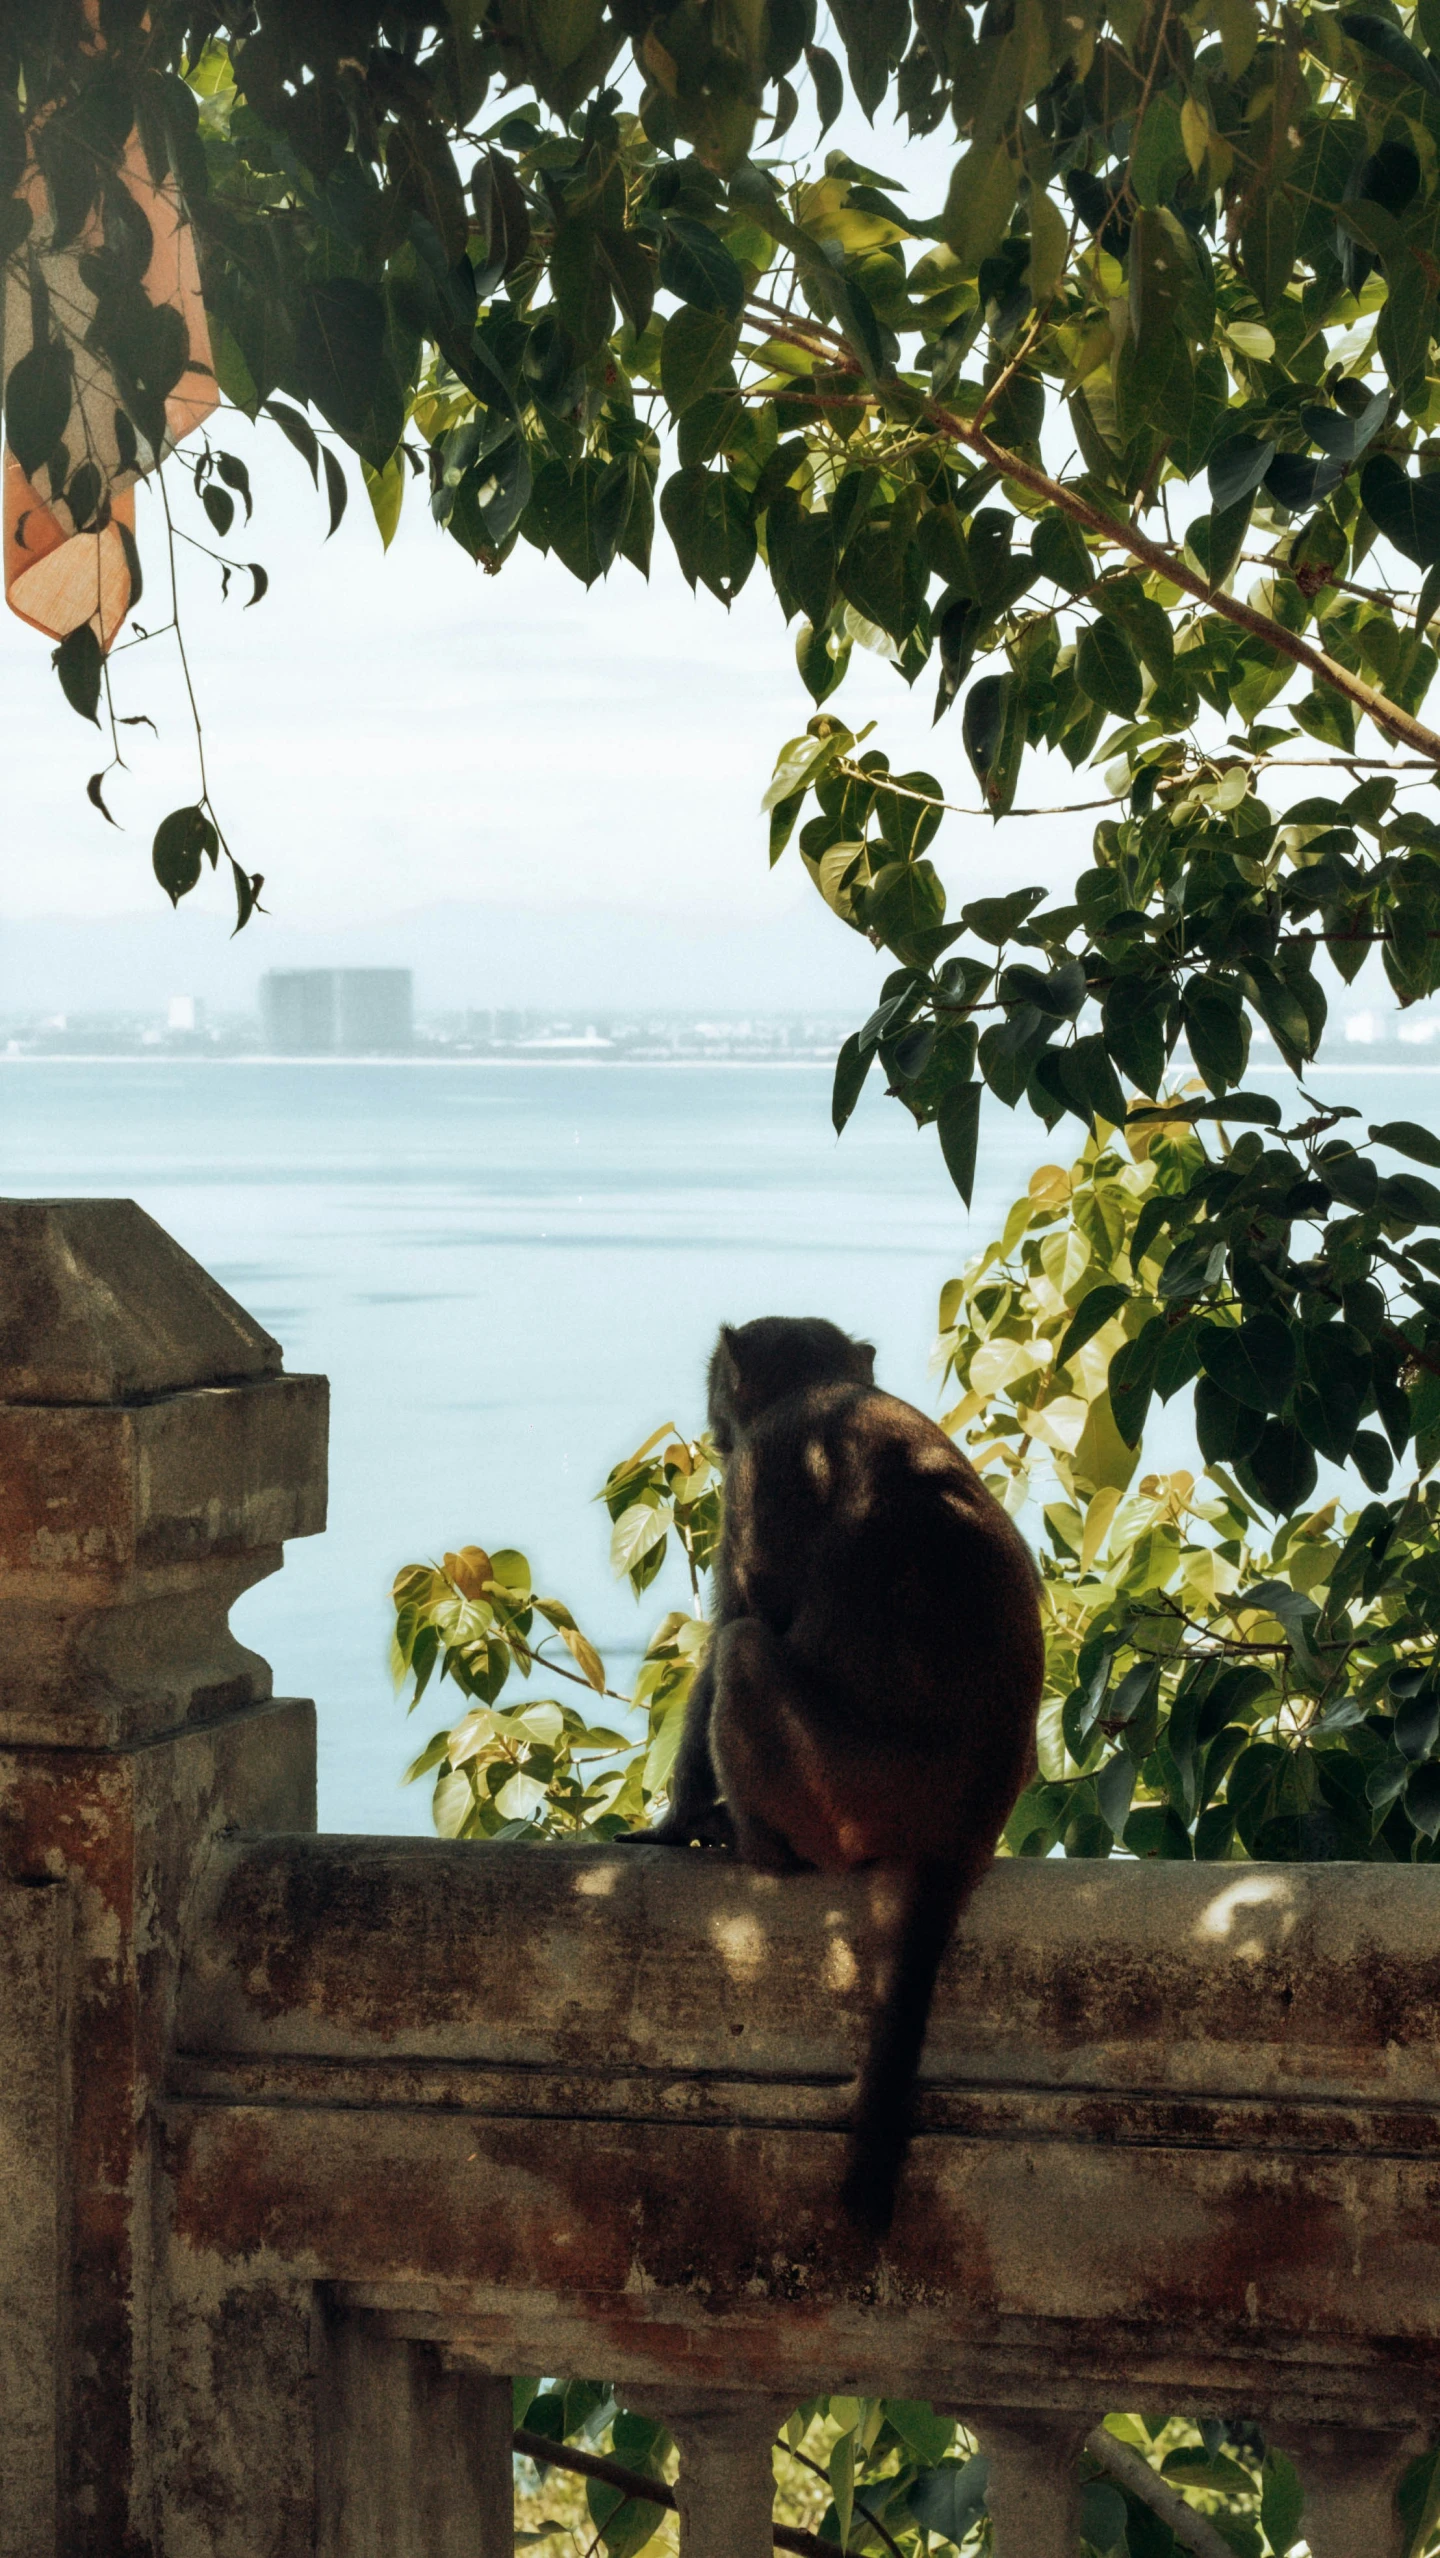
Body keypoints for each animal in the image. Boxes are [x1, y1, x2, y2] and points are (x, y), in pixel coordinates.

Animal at [626, 1319, 1043, 2240]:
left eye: (718, 1393)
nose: (710, 1424)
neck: (828, 1390)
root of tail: (967, 1828)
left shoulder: (760, 1473)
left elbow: (739, 1618)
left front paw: (676, 1819)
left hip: (840, 1797)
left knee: (746, 1654)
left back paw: (751, 1848)